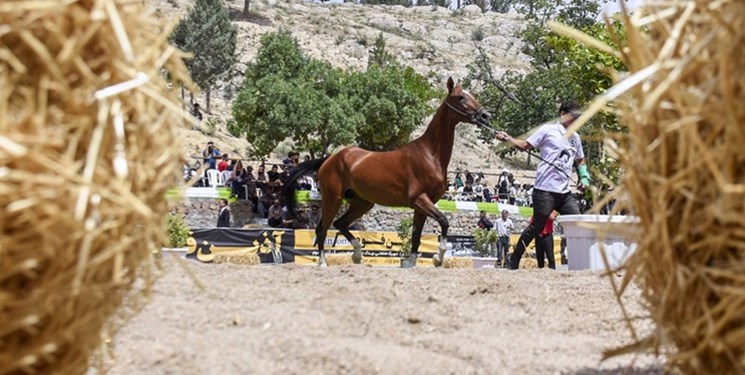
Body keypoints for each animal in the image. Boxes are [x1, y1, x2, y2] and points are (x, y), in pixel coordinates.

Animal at [280, 78, 488, 268]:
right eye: (461, 97)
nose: (485, 115)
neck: (430, 154)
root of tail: (329, 159)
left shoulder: (422, 206)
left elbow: (416, 236)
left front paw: (411, 263)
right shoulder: (419, 199)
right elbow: (444, 221)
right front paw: (438, 257)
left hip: (362, 203)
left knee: (340, 224)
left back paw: (357, 255)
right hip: (333, 199)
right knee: (321, 229)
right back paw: (323, 262)